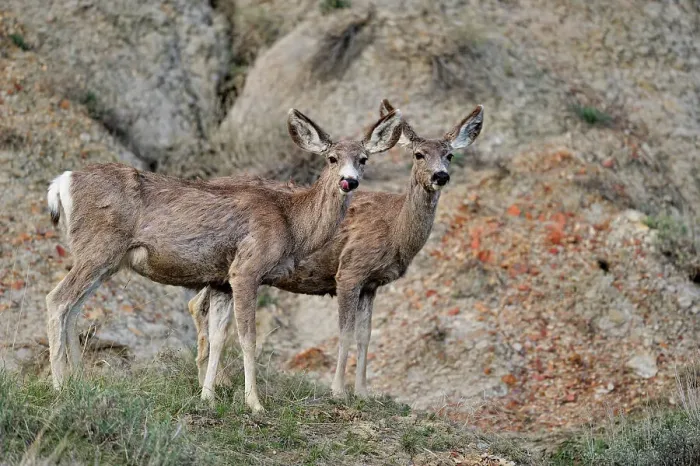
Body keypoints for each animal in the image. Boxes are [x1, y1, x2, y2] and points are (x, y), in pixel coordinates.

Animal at [45, 107, 403, 413]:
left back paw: (80, 380)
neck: (289, 222)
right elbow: (248, 338)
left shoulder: (221, 280)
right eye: (331, 158)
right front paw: (254, 403)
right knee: (57, 299)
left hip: (105, 260)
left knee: (74, 308)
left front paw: (207, 395)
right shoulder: (246, 269)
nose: (348, 181)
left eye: (363, 159)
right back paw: (60, 386)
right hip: (98, 248)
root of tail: (62, 182)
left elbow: (218, 338)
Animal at [188, 100, 484, 399]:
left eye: (449, 155)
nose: (440, 176)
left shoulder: (371, 284)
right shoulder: (351, 270)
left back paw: (211, 380)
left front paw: (363, 392)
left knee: (197, 304)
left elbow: (365, 335)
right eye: (419, 155)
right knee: (201, 306)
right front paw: (339, 391)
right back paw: (218, 381)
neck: (395, 229)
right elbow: (345, 332)